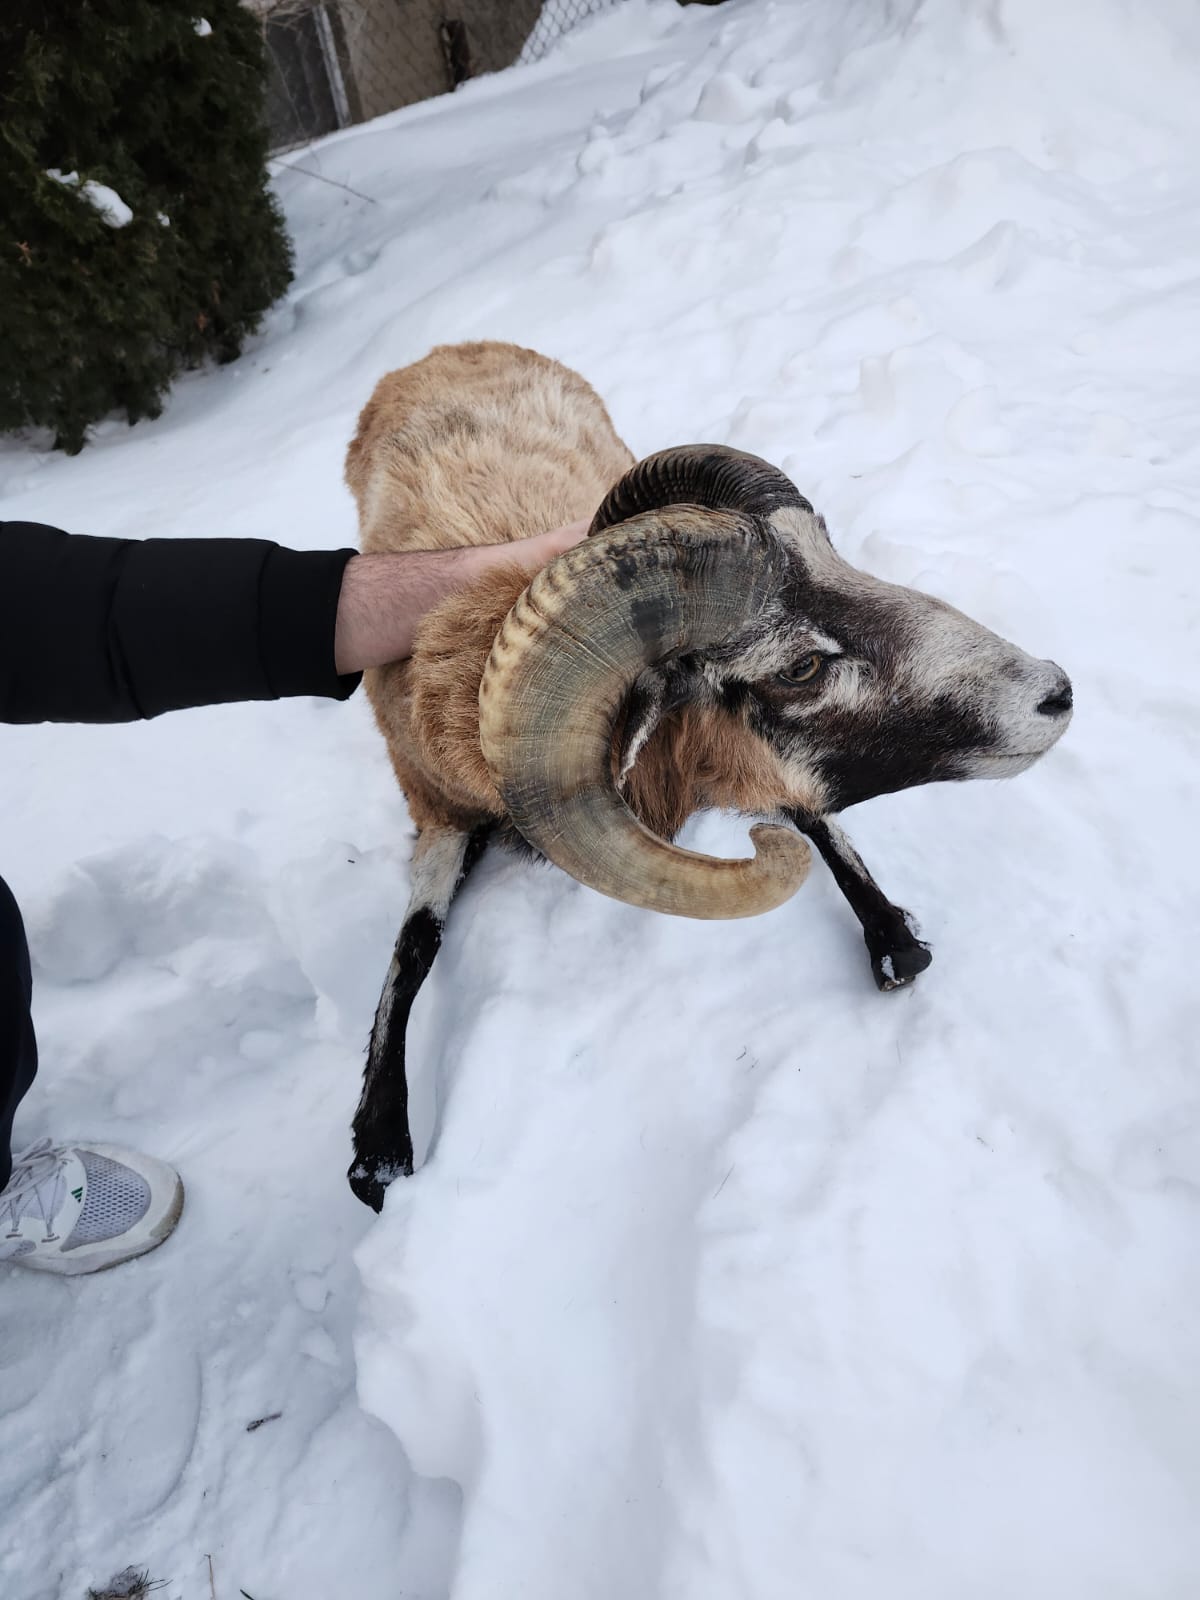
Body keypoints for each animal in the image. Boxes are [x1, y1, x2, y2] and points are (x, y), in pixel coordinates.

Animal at [344, 340, 1072, 1211]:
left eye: (842, 562)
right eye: (797, 667)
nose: (1055, 693)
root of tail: (442, 350)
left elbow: (813, 818)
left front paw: (895, 943)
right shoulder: (436, 812)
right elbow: (415, 941)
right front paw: (378, 1152)